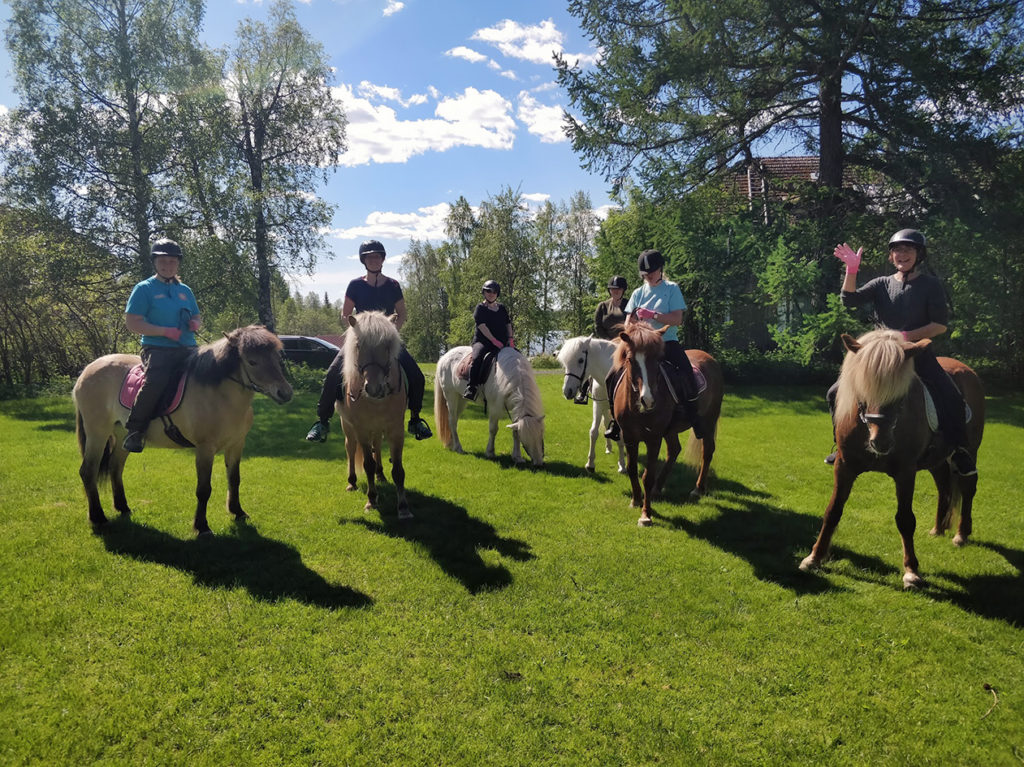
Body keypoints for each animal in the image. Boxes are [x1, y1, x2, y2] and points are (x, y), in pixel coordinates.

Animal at [71, 325, 296, 536]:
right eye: (252, 362)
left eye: (277, 358)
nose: (285, 393)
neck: (219, 394)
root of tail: (87, 370)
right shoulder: (205, 448)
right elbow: (204, 489)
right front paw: (202, 526)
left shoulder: (236, 445)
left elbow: (234, 479)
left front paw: (237, 511)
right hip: (97, 434)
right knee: (88, 471)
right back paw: (98, 517)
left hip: (122, 436)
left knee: (115, 467)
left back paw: (123, 507)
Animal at [339, 311, 411, 520]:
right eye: (358, 346)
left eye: (387, 346)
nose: (373, 388)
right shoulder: (361, 429)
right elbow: (367, 464)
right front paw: (371, 500)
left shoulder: (396, 429)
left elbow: (398, 469)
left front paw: (403, 507)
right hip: (348, 427)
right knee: (350, 448)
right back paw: (352, 482)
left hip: (378, 429)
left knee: (377, 447)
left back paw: (381, 474)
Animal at [557, 335, 626, 473]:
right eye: (565, 363)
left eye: (581, 360)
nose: (567, 391)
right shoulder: (598, 406)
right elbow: (594, 432)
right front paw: (590, 464)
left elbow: (621, 436)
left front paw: (622, 464)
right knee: (607, 422)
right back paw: (608, 447)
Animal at [610, 313, 724, 524]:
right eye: (630, 359)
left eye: (657, 360)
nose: (647, 400)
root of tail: (709, 357)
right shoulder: (629, 437)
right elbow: (632, 468)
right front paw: (636, 500)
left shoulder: (654, 438)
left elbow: (647, 476)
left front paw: (646, 515)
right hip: (671, 430)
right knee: (674, 450)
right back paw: (658, 489)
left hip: (709, 420)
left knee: (707, 451)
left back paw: (698, 488)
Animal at [798, 327, 983, 585]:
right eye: (863, 391)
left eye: (901, 395)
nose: (881, 442)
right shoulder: (844, 466)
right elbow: (833, 510)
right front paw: (814, 557)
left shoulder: (905, 471)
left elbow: (905, 519)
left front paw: (911, 571)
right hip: (936, 460)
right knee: (944, 485)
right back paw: (938, 528)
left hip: (970, 450)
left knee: (967, 487)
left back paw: (961, 534)